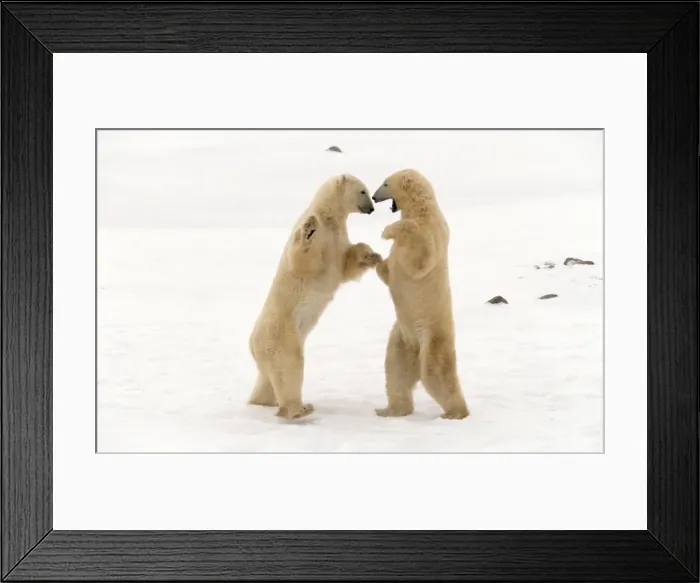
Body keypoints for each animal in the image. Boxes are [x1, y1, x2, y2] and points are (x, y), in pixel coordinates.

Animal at [248, 174, 382, 420]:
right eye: (363, 191)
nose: (371, 208)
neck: (329, 217)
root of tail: (253, 341)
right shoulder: (319, 235)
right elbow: (305, 260)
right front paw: (308, 231)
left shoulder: (338, 238)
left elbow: (346, 264)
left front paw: (371, 254)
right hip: (280, 331)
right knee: (288, 365)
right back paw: (298, 410)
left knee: (268, 378)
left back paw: (262, 402)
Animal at [371, 169, 470, 420]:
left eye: (385, 183)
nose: (374, 197)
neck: (422, 209)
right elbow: (389, 272)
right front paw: (376, 258)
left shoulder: (429, 233)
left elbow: (420, 258)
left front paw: (387, 231)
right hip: (402, 337)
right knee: (395, 369)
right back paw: (390, 410)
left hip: (431, 334)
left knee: (436, 371)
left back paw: (454, 413)